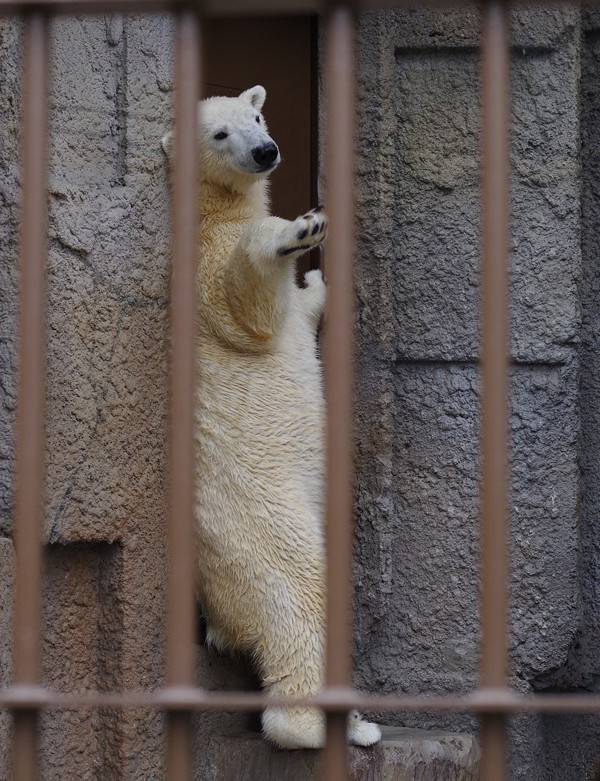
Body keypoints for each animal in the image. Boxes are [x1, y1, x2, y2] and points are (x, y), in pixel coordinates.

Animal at [162, 85, 382, 748]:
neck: (210, 208)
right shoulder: (205, 266)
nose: (267, 150)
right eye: (219, 133)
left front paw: (316, 279)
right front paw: (298, 230)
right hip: (260, 527)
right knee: (302, 597)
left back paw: (357, 720)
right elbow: (250, 308)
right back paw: (312, 724)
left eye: (256, 116)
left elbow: (299, 308)